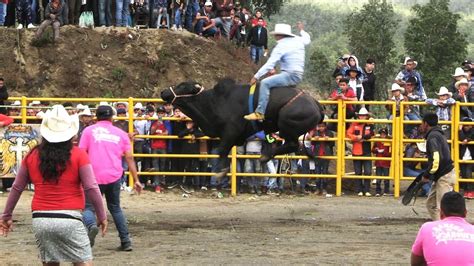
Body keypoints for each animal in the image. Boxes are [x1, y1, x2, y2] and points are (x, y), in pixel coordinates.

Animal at [161, 78, 324, 179]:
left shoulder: (231, 132)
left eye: (183, 86)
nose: (164, 92)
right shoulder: (212, 129)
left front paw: (221, 172)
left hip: (287, 124)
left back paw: (266, 155)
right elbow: (196, 130)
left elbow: (221, 150)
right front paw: (183, 132)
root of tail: (315, 103)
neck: (214, 102)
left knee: (292, 144)